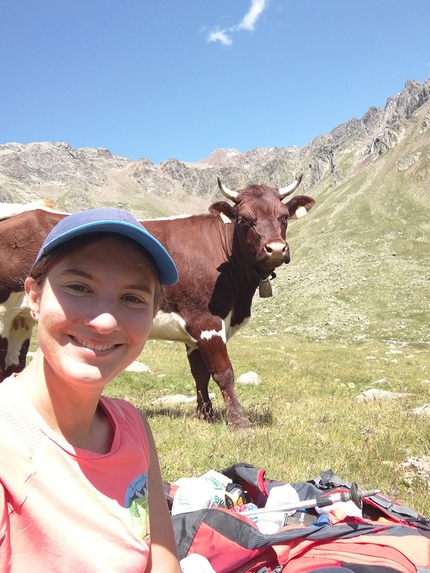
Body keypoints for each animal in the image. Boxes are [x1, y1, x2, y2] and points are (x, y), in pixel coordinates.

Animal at [0, 177, 316, 426]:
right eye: (244, 219)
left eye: (284, 217)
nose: (276, 249)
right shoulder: (207, 321)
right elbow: (223, 373)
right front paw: (239, 421)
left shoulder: (194, 331)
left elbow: (200, 374)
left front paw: (207, 415)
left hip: (21, 317)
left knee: (13, 363)